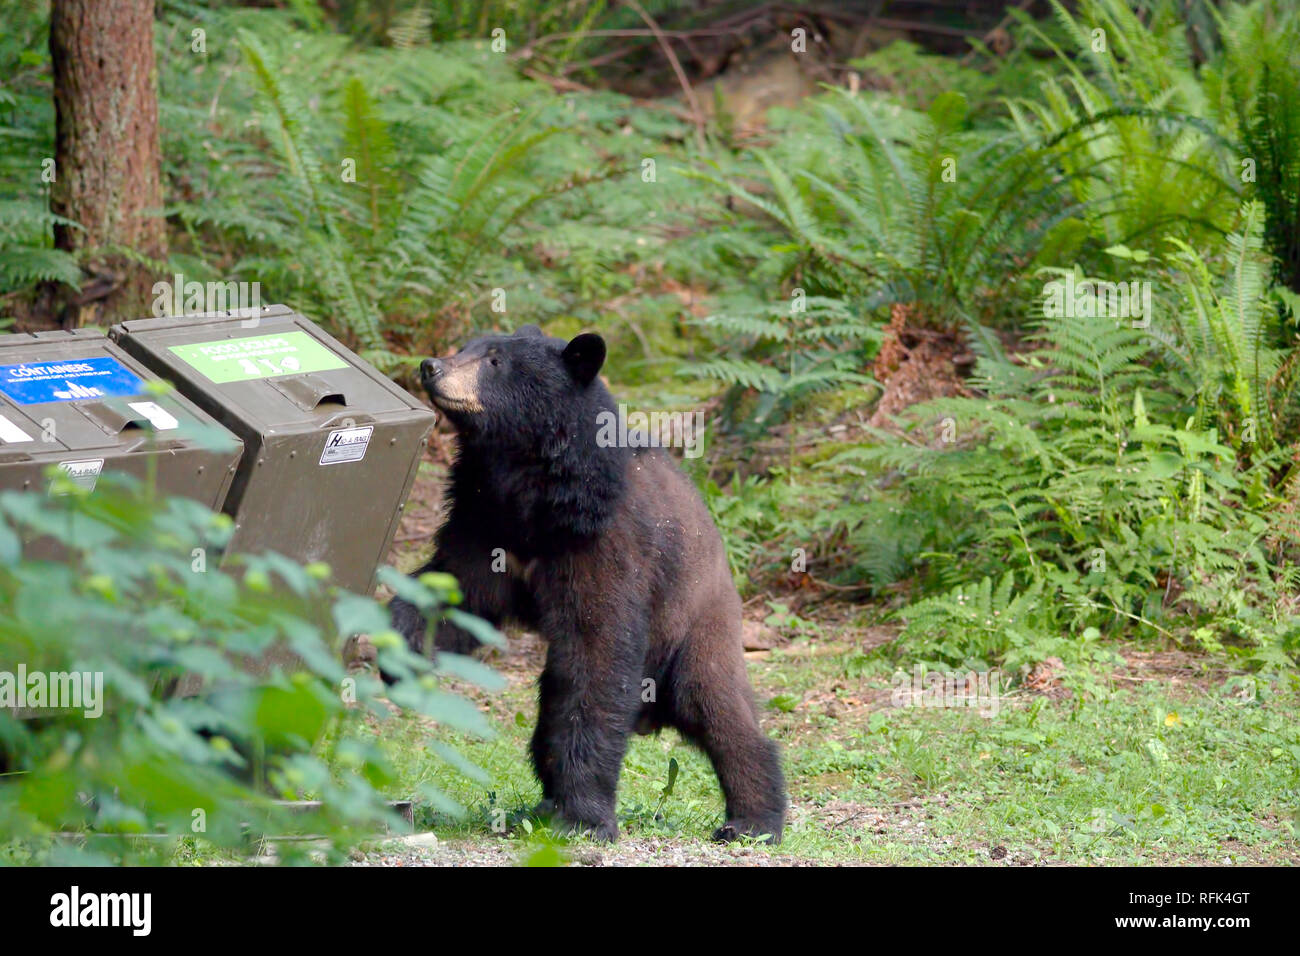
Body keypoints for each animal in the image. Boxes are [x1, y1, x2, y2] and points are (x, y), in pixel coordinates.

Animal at [386, 325, 787, 843]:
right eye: (465, 347)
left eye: (495, 360)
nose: (431, 366)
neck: (531, 484)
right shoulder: (484, 521)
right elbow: (457, 591)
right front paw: (396, 647)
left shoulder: (607, 543)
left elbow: (598, 648)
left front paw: (585, 818)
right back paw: (541, 805)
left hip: (694, 626)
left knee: (719, 708)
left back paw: (752, 819)